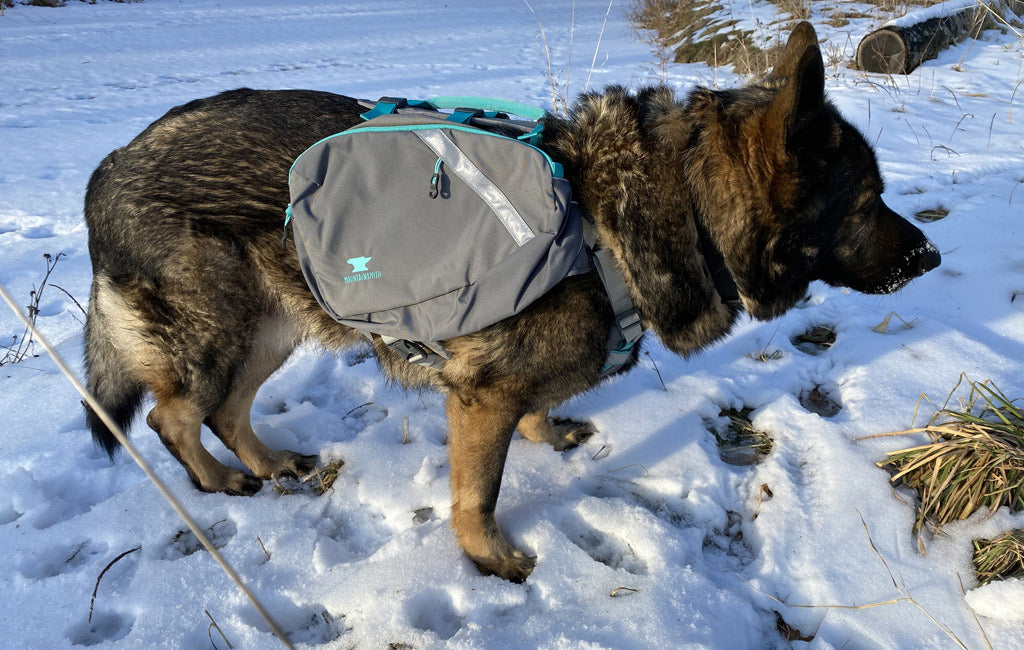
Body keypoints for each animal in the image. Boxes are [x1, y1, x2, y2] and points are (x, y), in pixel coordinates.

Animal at [86, 24, 937, 585]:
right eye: (867, 205)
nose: (931, 257)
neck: (665, 209)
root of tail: (110, 166)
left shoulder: (505, 390)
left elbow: (533, 412)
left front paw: (545, 433)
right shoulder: (479, 397)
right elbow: (478, 492)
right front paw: (487, 556)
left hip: (273, 327)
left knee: (229, 410)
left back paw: (269, 463)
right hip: (218, 335)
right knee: (174, 416)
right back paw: (220, 481)